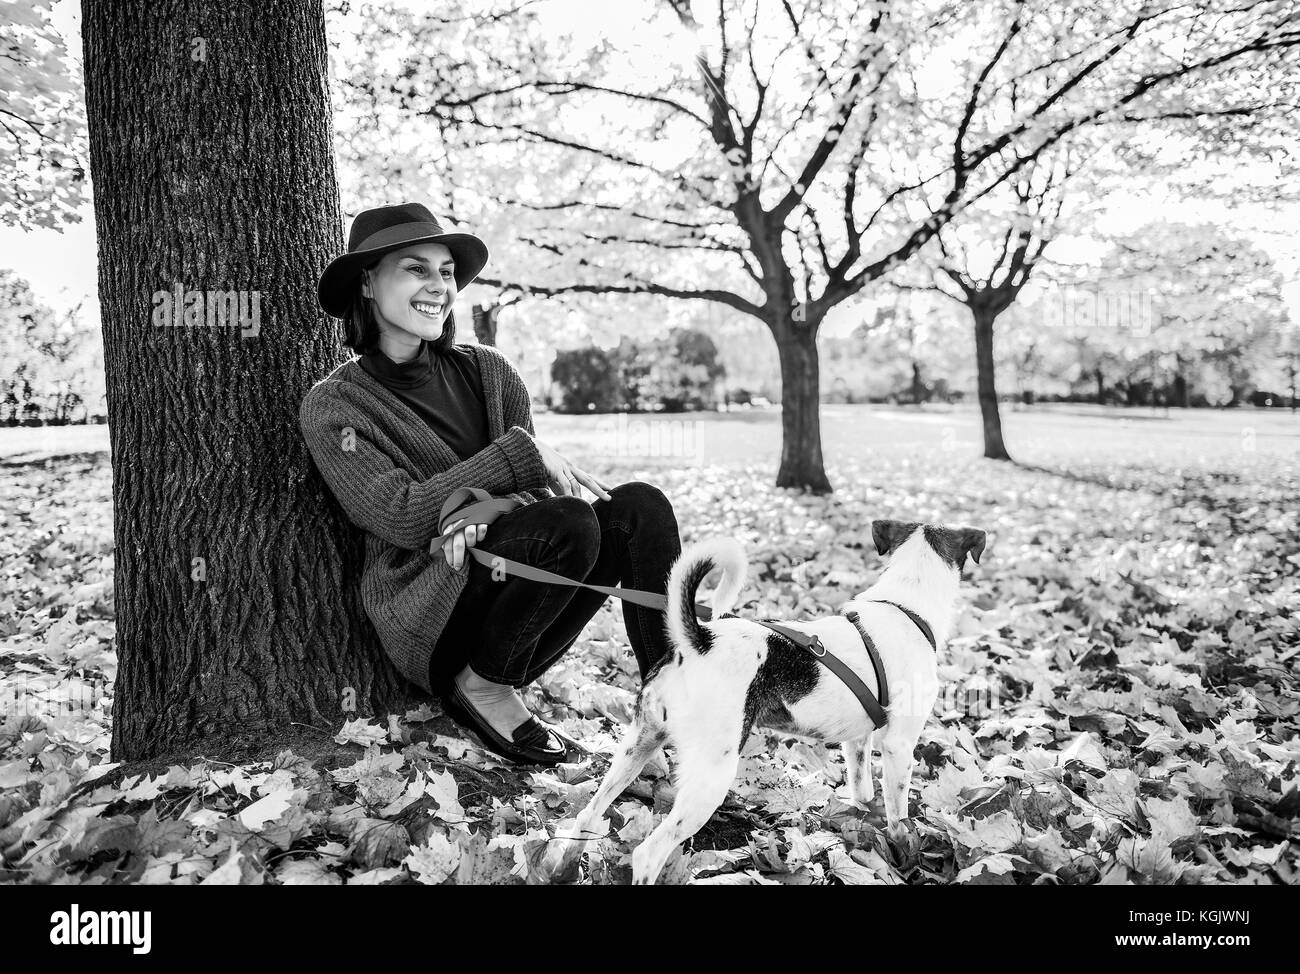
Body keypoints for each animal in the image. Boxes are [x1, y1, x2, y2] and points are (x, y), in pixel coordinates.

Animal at [546, 520, 982, 884]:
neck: (904, 609)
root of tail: (700, 642)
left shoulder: (858, 741)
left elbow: (863, 791)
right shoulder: (899, 745)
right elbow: (898, 814)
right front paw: (904, 855)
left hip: (637, 745)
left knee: (587, 814)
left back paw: (561, 869)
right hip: (711, 774)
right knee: (648, 853)